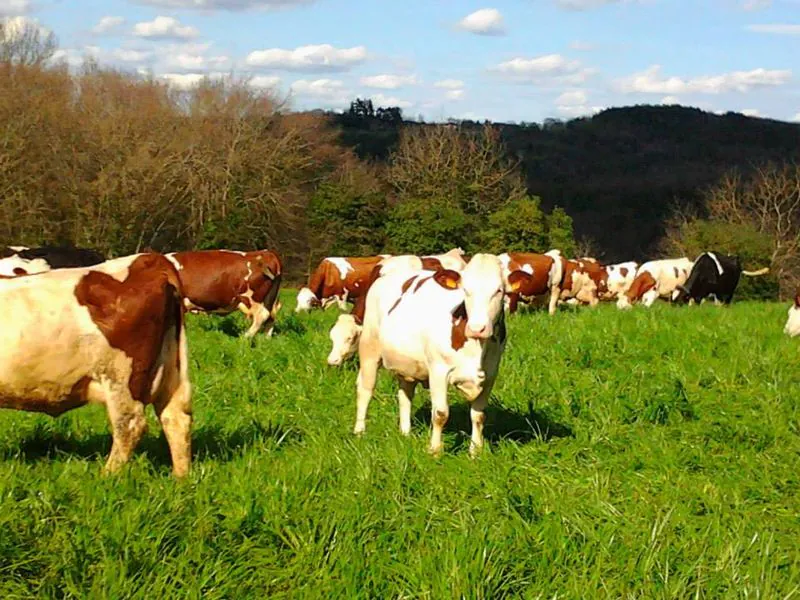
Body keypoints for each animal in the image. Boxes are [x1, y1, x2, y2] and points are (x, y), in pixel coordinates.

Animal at [0, 253, 192, 478]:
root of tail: (150, 259)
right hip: (171, 369)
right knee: (176, 419)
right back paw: (180, 478)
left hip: (120, 376)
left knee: (129, 424)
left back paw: (108, 475)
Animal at [354, 255, 536, 458]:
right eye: (465, 290)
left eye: (499, 291)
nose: (477, 328)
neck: (476, 348)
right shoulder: (438, 371)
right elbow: (440, 414)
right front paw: (435, 450)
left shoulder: (490, 374)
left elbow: (479, 415)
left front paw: (475, 451)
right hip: (369, 348)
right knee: (365, 389)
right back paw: (360, 431)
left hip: (407, 363)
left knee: (405, 395)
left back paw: (405, 433)